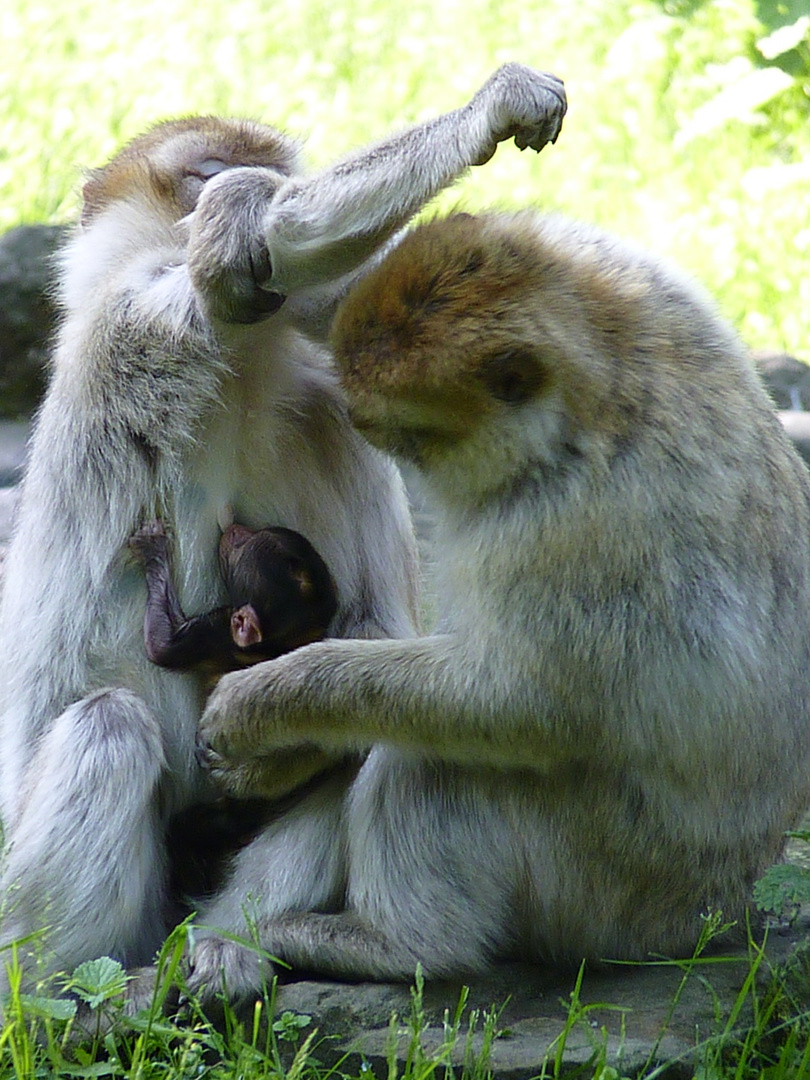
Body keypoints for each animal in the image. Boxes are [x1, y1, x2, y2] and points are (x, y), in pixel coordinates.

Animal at [189, 210, 810, 1002]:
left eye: (412, 430)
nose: (361, 424)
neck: (605, 385)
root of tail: (724, 914)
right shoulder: (640, 281)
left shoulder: (574, 532)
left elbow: (517, 704)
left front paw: (266, 701)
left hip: (612, 894)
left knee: (440, 759)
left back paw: (396, 947)